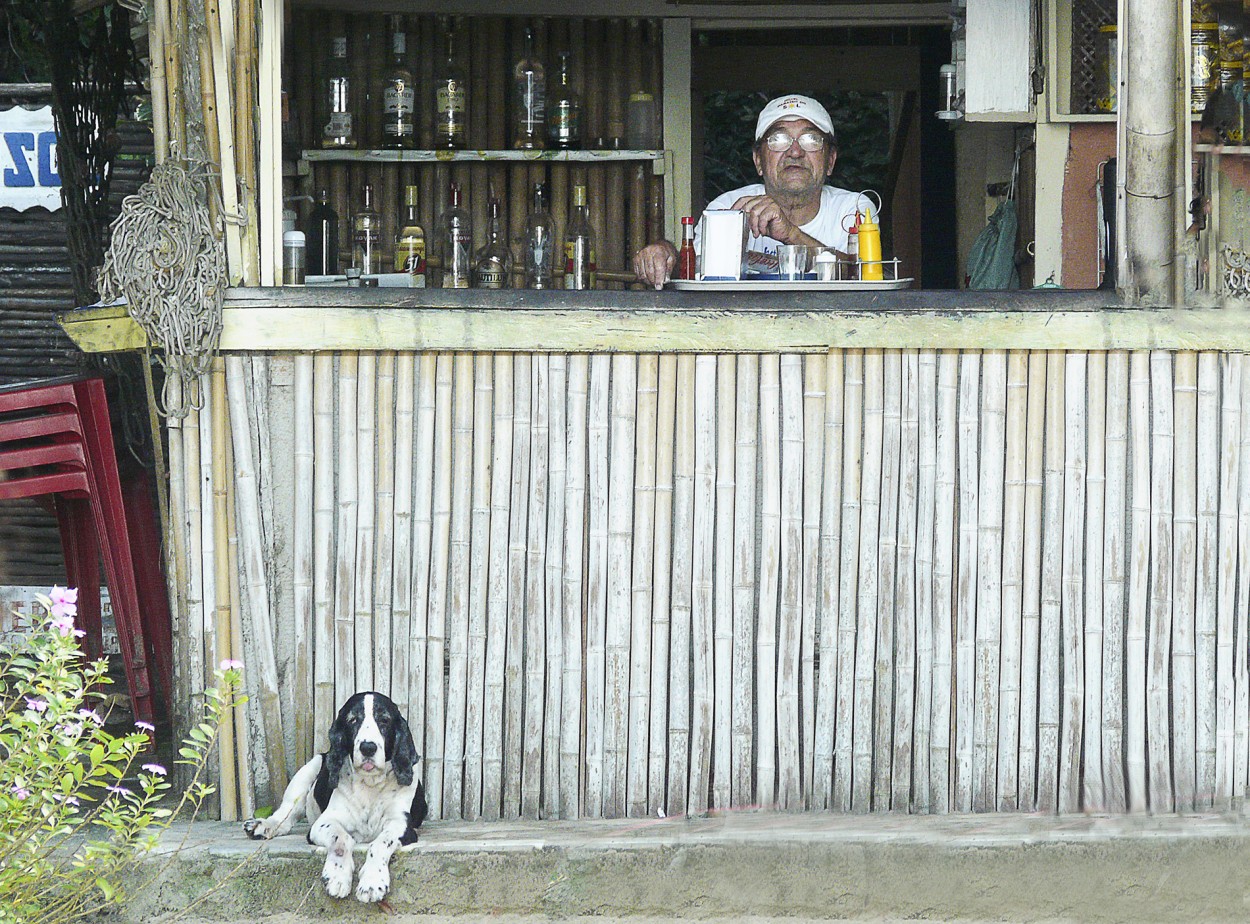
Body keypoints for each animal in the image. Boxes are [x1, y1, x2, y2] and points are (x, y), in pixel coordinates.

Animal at [242, 695, 430, 905]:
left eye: (384, 720)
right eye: (352, 720)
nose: (368, 748)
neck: (370, 784)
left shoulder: (401, 824)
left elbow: (381, 842)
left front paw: (372, 881)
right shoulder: (323, 822)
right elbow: (340, 838)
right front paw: (337, 877)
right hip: (310, 767)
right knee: (286, 814)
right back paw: (262, 825)